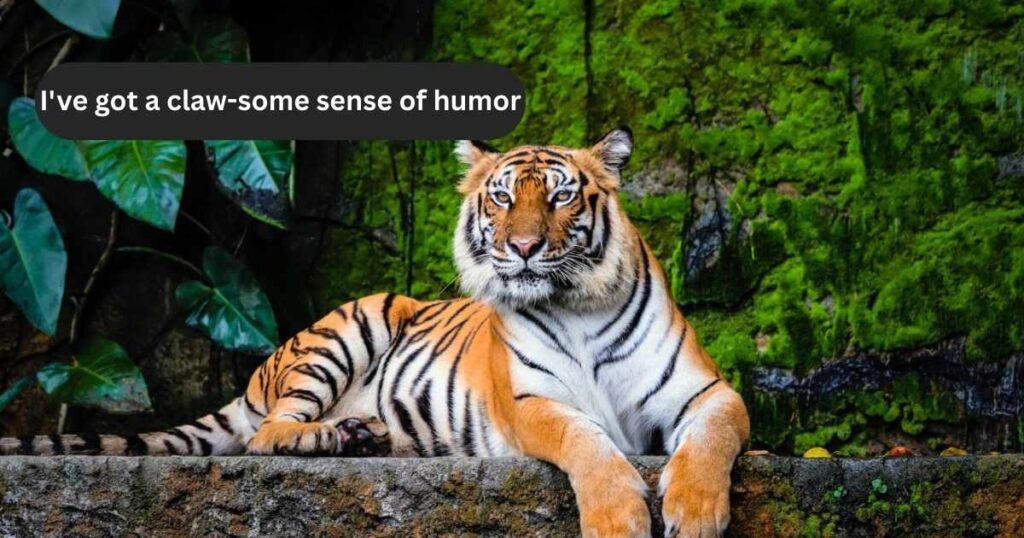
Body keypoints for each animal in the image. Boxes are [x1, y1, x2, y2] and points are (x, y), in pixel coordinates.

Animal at [2, 128, 750, 538]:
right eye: (502, 197)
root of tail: (260, 368)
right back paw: (333, 436)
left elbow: (710, 441)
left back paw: (367, 434)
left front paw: (696, 513)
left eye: (563, 196)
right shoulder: (533, 404)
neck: (577, 305)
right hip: (351, 325)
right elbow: (588, 445)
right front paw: (620, 519)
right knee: (269, 432)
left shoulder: (707, 393)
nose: (525, 248)